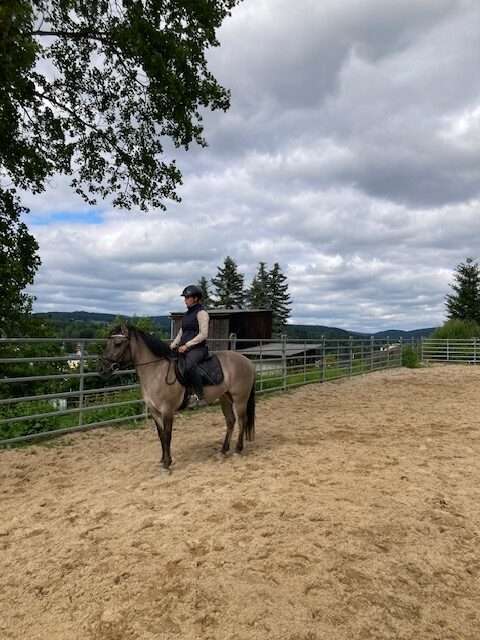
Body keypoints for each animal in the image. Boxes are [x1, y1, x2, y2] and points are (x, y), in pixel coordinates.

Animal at [98, 324, 256, 470]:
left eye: (118, 343)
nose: (103, 369)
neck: (156, 372)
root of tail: (246, 360)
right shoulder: (154, 412)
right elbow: (161, 435)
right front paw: (162, 460)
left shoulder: (167, 411)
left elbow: (168, 435)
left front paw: (167, 463)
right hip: (225, 398)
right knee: (230, 421)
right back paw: (223, 451)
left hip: (240, 399)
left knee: (242, 420)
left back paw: (238, 450)